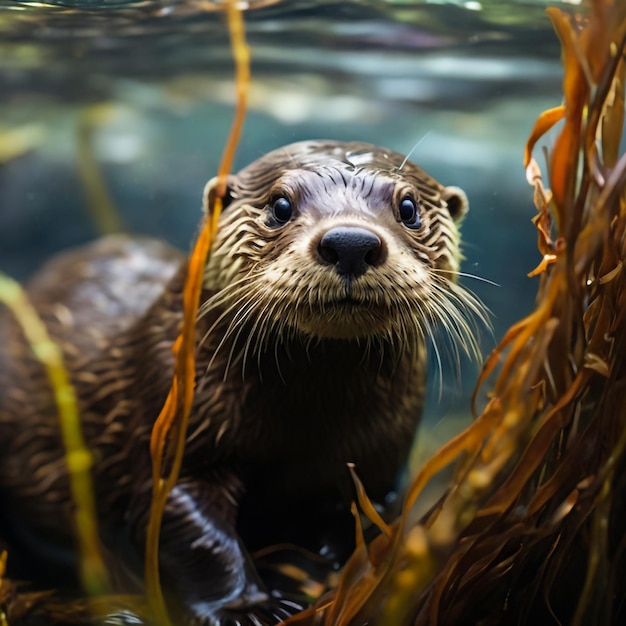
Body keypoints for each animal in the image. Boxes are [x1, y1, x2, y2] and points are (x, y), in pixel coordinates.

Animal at [0, 139, 482, 620]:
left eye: (409, 207)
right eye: (280, 205)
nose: (350, 242)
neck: (308, 425)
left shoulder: (381, 466)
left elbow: (361, 520)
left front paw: (314, 574)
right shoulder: (173, 429)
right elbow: (191, 526)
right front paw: (246, 607)